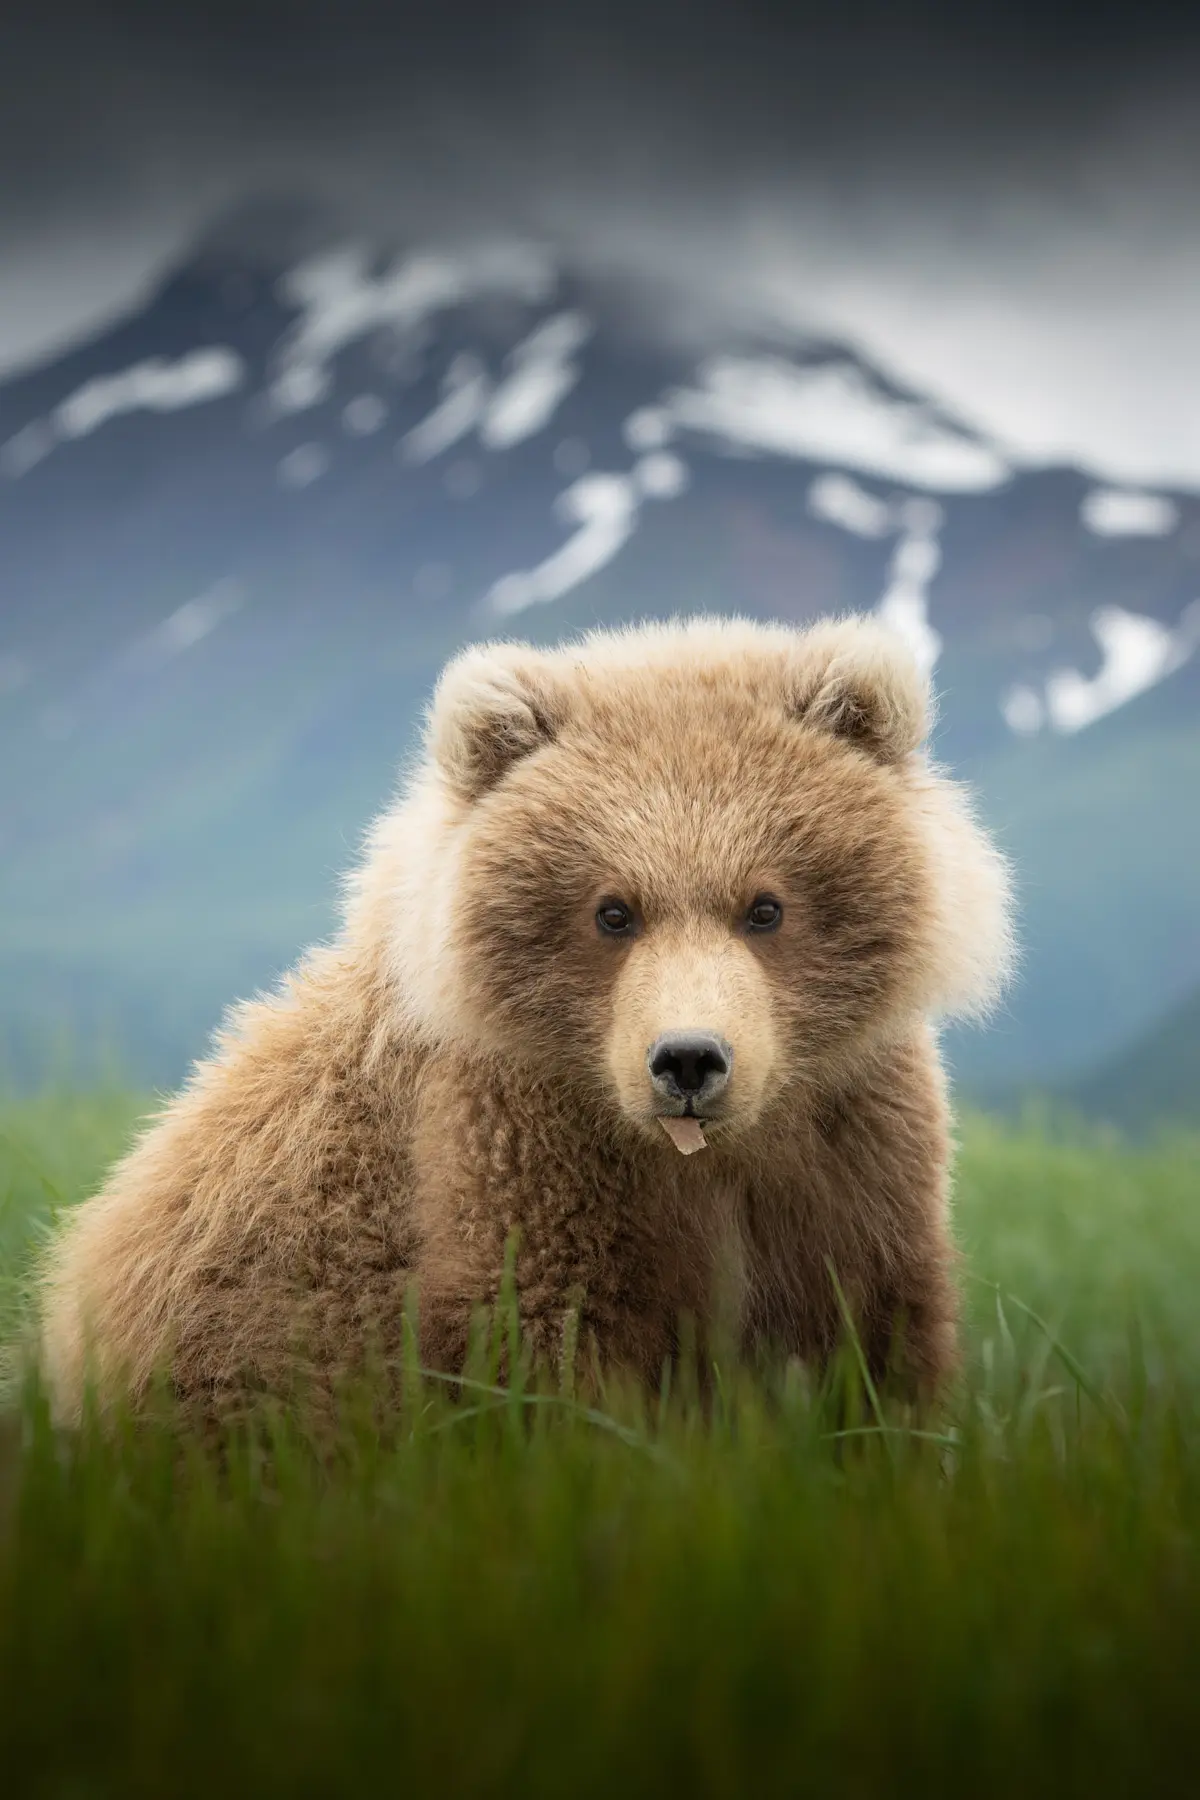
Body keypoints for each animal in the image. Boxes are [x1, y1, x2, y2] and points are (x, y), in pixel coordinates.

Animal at [35, 614, 1013, 1425]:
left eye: (764, 907)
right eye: (612, 911)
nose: (689, 1060)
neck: (693, 1163)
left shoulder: (848, 1150)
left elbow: (874, 1335)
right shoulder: (515, 1150)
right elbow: (550, 1344)